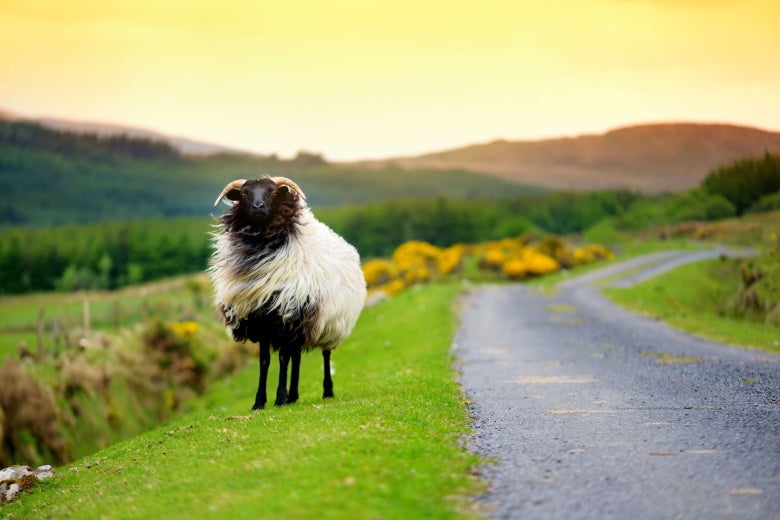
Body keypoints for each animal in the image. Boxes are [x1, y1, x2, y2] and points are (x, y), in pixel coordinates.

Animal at [207, 177, 366, 408]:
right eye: (244, 193)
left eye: (273, 193)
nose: (258, 207)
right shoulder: (261, 320)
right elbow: (265, 361)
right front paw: (260, 402)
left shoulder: (286, 316)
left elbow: (282, 358)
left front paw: (280, 398)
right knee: (296, 357)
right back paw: (294, 395)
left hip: (330, 323)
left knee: (325, 355)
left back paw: (326, 391)